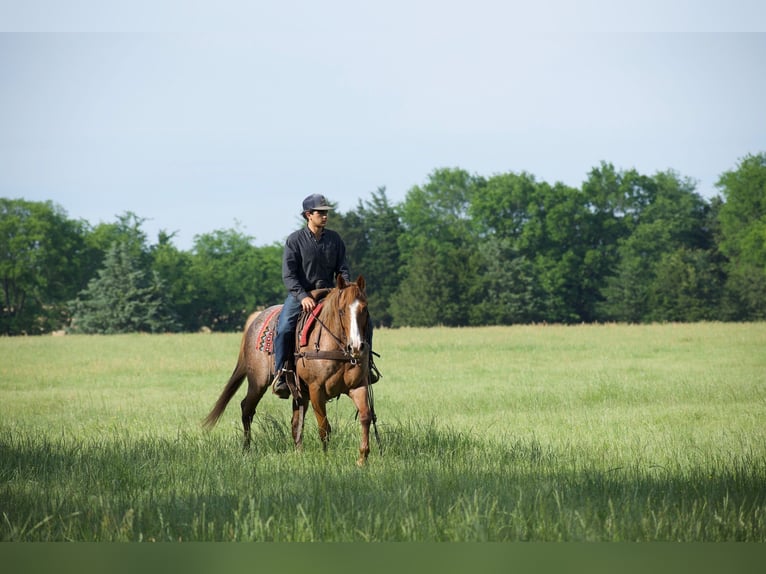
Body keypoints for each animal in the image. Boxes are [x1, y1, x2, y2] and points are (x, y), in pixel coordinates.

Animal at [203, 274, 375, 465]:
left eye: (364, 308)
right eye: (342, 310)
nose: (356, 346)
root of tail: (255, 319)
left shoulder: (358, 386)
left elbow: (365, 417)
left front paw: (362, 458)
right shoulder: (316, 390)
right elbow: (324, 426)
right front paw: (326, 458)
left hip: (299, 392)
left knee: (295, 421)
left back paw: (298, 452)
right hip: (258, 382)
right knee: (247, 409)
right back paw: (246, 450)